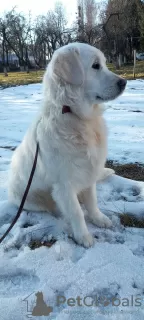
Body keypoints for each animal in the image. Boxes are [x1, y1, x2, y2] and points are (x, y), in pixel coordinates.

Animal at [8, 42, 126, 248]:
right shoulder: (64, 183)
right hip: (28, 198)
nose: (124, 82)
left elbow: (92, 201)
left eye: (104, 63)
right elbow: (76, 211)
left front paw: (99, 219)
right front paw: (83, 236)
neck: (76, 116)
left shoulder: (88, 171)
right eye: (96, 66)